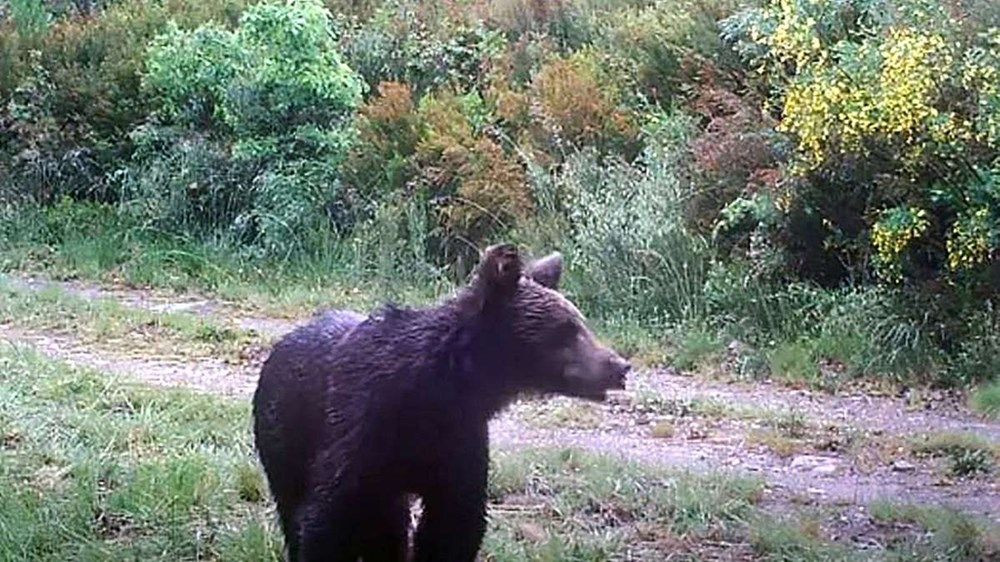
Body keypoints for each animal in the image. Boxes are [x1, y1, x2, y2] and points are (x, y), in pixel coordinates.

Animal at [254, 244, 632, 560]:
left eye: (580, 322)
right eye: (566, 330)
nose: (619, 366)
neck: (440, 390)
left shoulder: (457, 443)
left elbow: (453, 527)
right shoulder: (359, 433)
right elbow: (326, 520)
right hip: (284, 440)